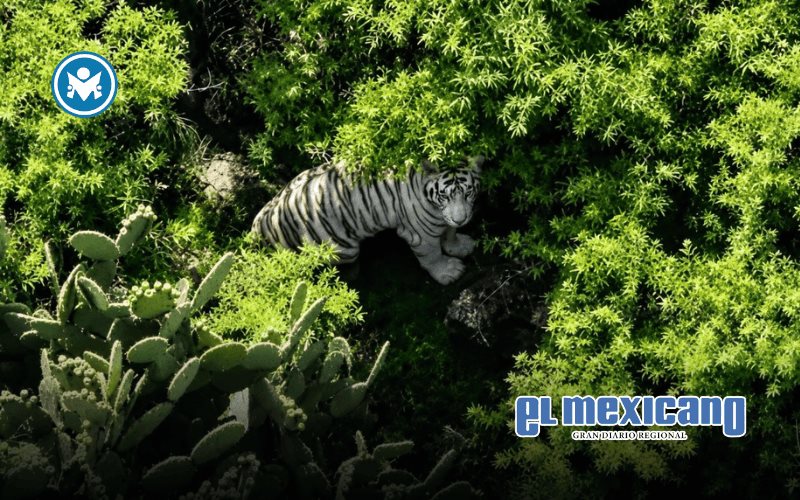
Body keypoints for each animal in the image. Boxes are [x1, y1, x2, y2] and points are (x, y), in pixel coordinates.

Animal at [251, 155, 484, 285]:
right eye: (444, 196)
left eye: (468, 193)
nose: (462, 219)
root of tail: (258, 226)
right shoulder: (420, 234)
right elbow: (432, 255)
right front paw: (448, 272)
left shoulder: (448, 218)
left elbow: (450, 232)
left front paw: (460, 245)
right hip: (340, 248)